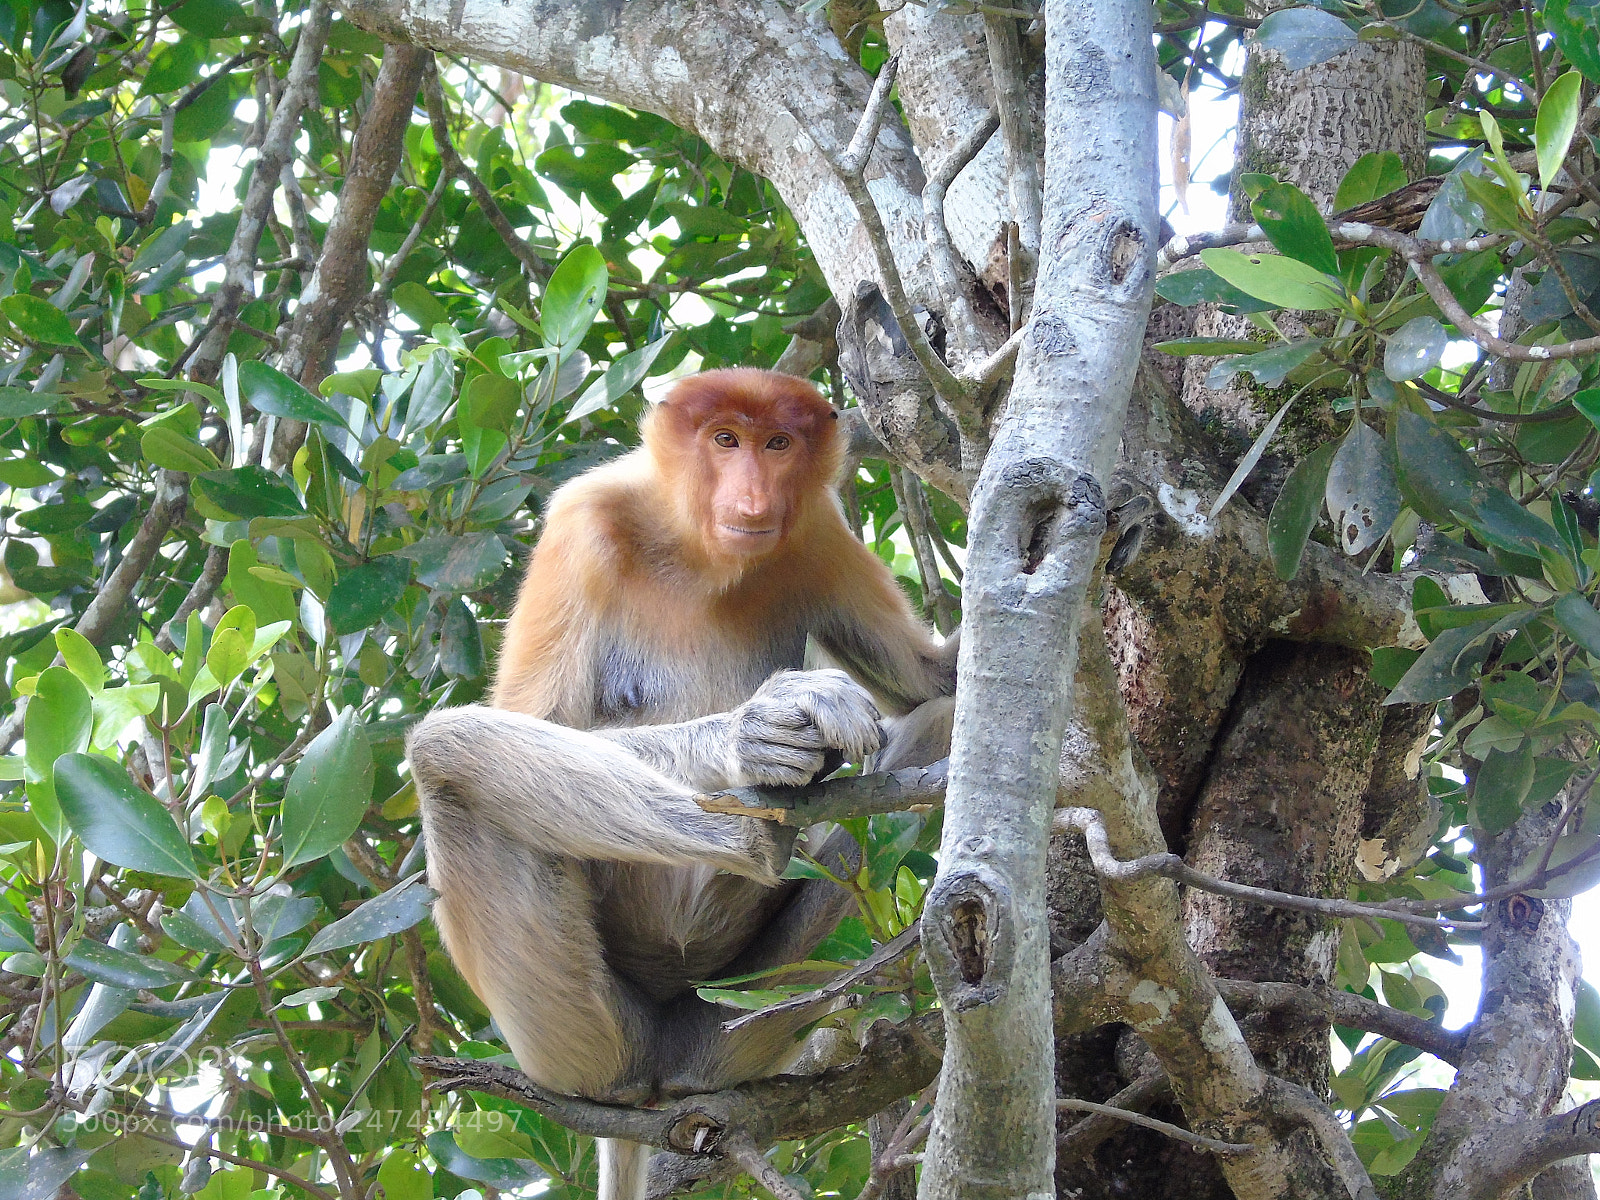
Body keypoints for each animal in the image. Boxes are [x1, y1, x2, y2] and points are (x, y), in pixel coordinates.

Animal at [407, 368, 957, 1200]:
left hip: (741, 1016)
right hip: (579, 1033)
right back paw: (755, 839)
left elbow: (927, 681)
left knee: (944, 716)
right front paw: (753, 732)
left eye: (778, 443)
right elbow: (538, 718)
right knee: (449, 747)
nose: (753, 500)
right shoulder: (581, 523)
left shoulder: (818, 535)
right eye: (724, 439)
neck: (701, 558)